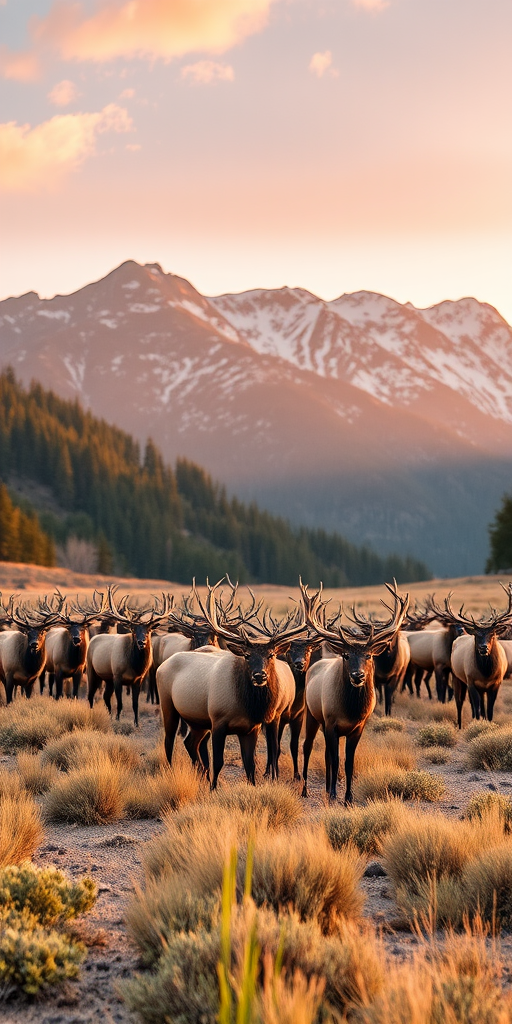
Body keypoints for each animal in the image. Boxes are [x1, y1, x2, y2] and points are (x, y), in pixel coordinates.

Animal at [86, 586, 172, 726]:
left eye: (148, 630)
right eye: (134, 630)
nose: (141, 642)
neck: (134, 666)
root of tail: (93, 639)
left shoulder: (138, 679)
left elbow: (135, 704)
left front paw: (136, 723)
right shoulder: (117, 675)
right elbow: (120, 703)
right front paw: (117, 720)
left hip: (108, 678)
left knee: (105, 696)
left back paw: (109, 716)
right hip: (92, 670)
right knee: (90, 695)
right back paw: (92, 714)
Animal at [157, 580, 304, 789]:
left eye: (271, 654)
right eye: (247, 656)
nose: (260, 675)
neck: (245, 704)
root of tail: (162, 665)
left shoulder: (251, 728)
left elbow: (250, 764)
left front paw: (251, 786)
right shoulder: (218, 720)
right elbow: (218, 761)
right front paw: (213, 788)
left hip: (198, 720)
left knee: (190, 742)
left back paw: (201, 774)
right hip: (168, 705)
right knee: (169, 741)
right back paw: (172, 771)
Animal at [300, 580, 409, 803]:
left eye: (368, 655)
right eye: (346, 655)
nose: (358, 675)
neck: (350, 711)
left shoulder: (358, 727)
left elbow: (349, 762)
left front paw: (348, 797)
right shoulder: (331, 722)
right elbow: (336, 759)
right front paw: (334, 795)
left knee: (325, 753)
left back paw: (326, 789)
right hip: (312, 714)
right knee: (307, 746)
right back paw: (306, 789)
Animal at [445, 591, 512, 728]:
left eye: (492, 634)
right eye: (476, 635)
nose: (483, 647)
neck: (486, 673)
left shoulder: (496, 683)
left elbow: (489, 710)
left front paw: (488, 724)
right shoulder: (471, 681)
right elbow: (477, 708)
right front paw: (476, 723)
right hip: (457, 677)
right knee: (459, 702)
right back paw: (460, 725)